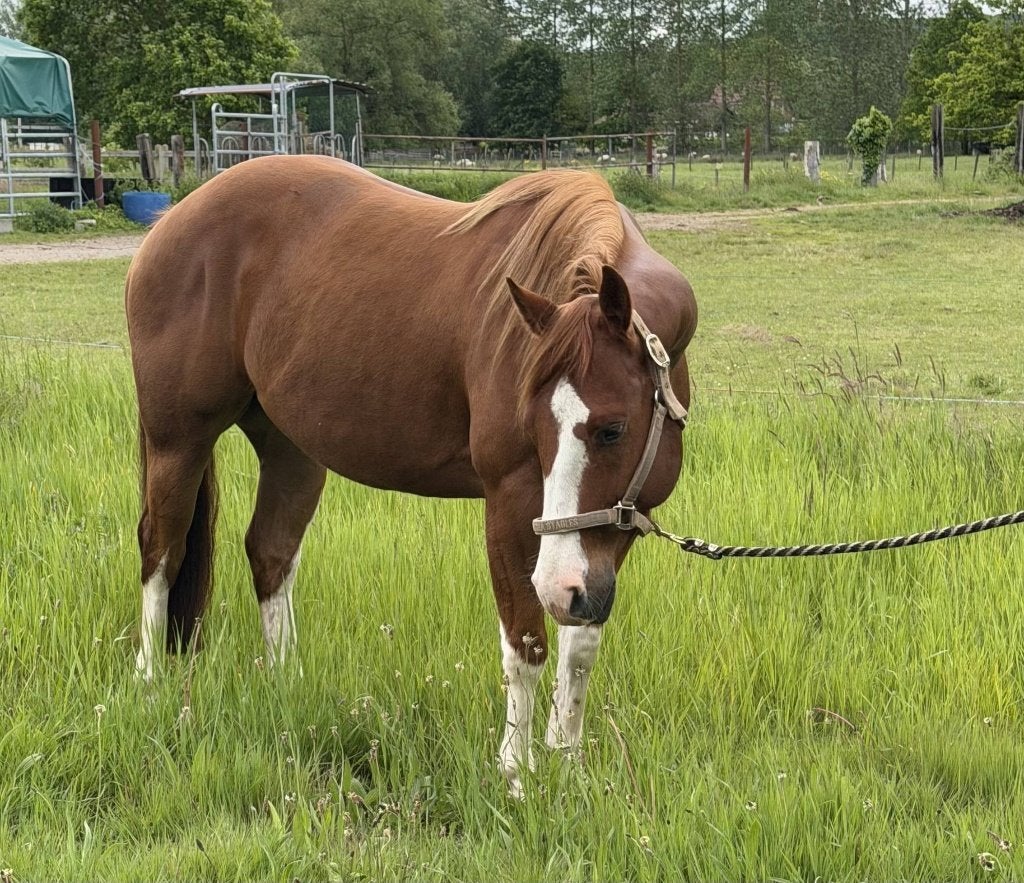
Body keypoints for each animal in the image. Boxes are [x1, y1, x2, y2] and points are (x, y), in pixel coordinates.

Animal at [125, 155, 697, 796]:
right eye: (533, 424)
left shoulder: (616, 526)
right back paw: (149, 678)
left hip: (290, 449)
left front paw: (567, 762)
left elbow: (580, 647)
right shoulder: (511, 504)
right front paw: (516, 774)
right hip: (179, 440)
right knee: (162, 549)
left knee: (270, 552)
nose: (558, 586)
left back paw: (284, 681)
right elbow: (524, 644)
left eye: (613, 430)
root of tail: (170, 224)